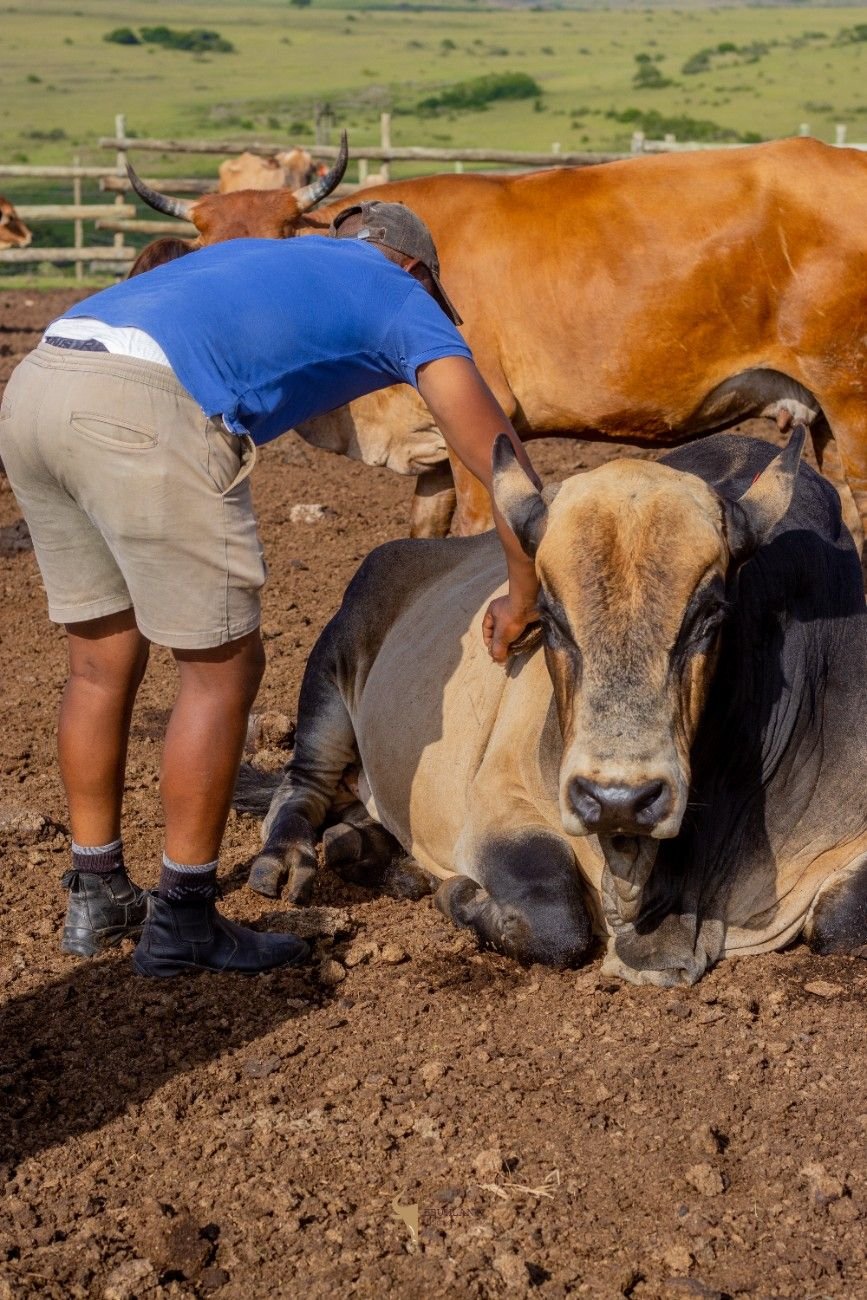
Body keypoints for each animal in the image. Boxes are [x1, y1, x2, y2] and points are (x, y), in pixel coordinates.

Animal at [127, 137, 867, 565]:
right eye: (201, 249)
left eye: (277, 240)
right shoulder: (428, 447)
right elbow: (422, 533)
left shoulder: (481, 434)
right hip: (824, 418)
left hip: (852, 401)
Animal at [234, 429, 867, 987]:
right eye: (552, 617)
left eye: (710, 615)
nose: (618, 799)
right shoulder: (502, 804)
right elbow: (555, 918)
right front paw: (457, 892)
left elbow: (840, 921)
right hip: (331, 664)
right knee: (304, 783)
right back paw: (290, 859)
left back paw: (366, 849)